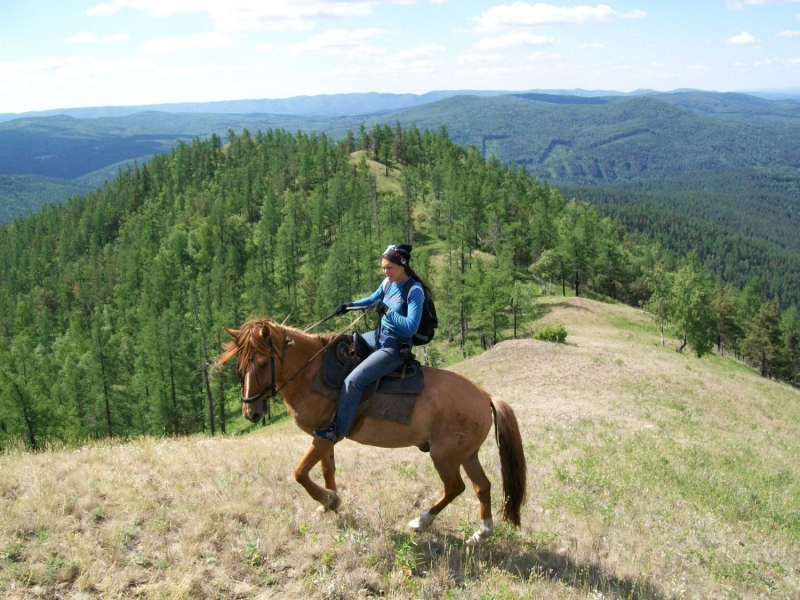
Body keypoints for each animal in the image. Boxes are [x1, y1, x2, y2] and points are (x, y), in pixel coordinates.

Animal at [216, 318, 528, 544]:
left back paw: (421, 522)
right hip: (467, 454)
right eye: (240, 366)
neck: (311, 373)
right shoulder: (325, 435)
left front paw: (328, 499)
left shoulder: (325, 435)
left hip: (445, 455)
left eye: (262, 363)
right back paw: (482, 532)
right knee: (482, 487)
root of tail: (485, 396)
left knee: (455, 488)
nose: (251, 412)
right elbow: (327, 470)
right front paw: (330, 503)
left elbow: (300, 473)